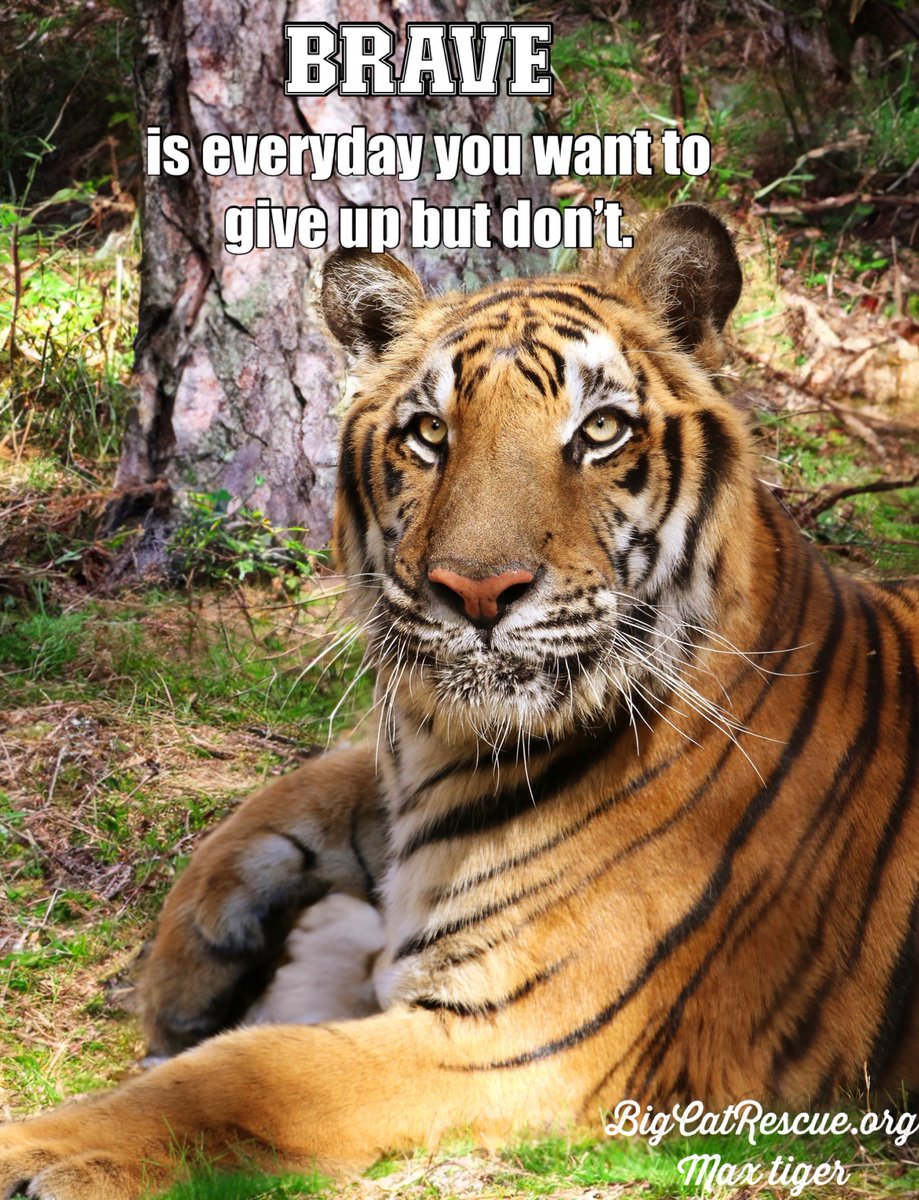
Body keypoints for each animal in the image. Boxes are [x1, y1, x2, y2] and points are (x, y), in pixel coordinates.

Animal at [1, 204, 918, 1200]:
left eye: (600, 429)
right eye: (429, 433)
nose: (477, 592)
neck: (451, 746)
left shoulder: (519, 1037)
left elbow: (245, 1076)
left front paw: (42, 1148)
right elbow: (292, 791)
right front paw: (184, 973)